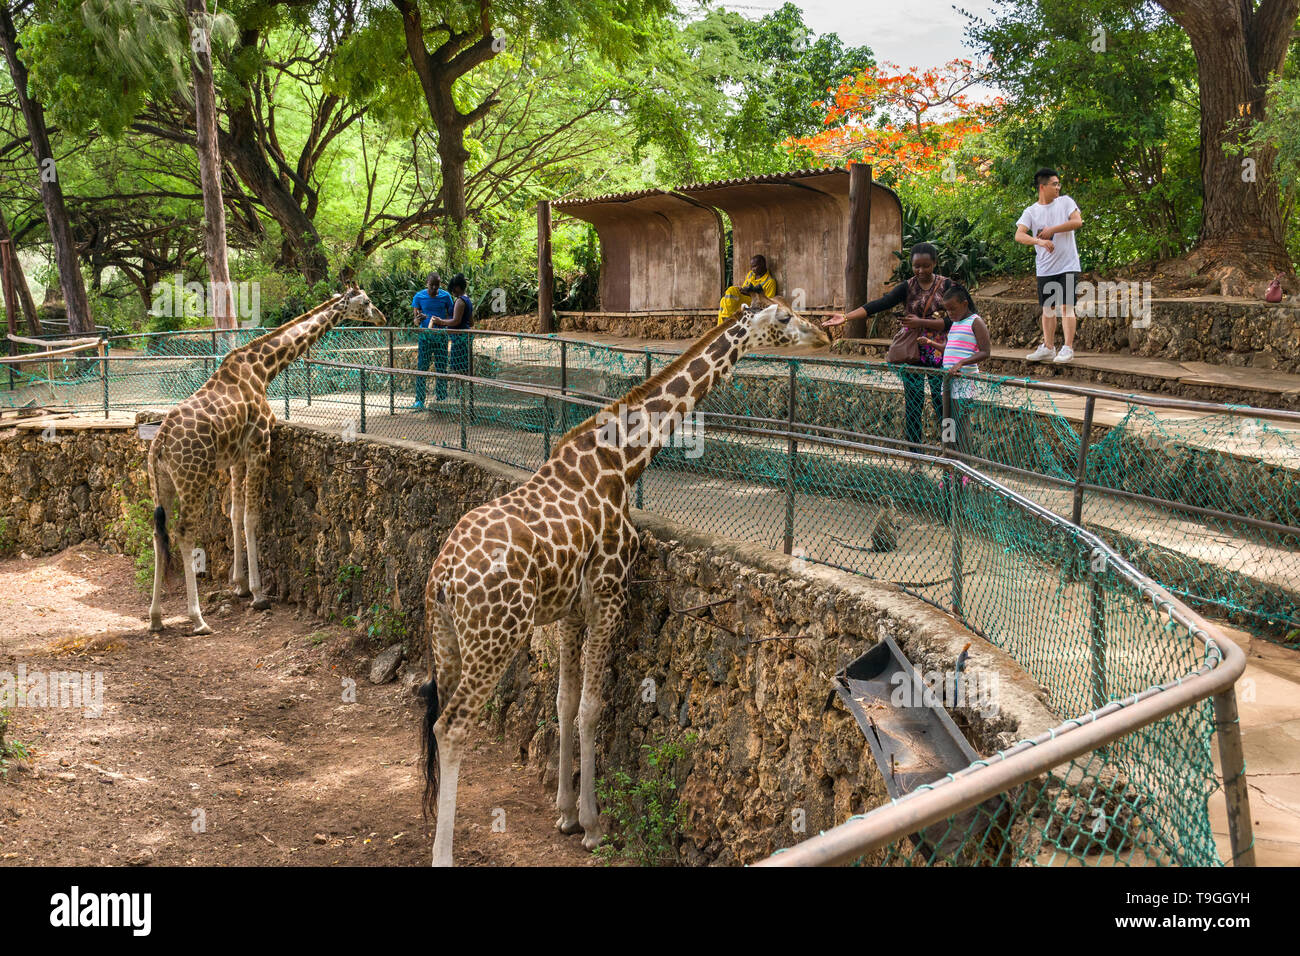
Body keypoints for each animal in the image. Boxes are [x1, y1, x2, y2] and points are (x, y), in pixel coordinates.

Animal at [148, 291, 384, 634]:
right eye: (365, 302)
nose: (381, 316)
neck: (262, 369)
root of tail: (160, 443)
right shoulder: (260, 446)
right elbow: (251, 517)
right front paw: (258, 594)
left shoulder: (237, 457)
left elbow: (234, 514)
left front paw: (238, 584)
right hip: (193, 477)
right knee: (183, 532)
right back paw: (198, 618)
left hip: (161, 482)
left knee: (158, 533)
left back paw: (155, 617)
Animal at [416, 299, 826, 868]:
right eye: (784, 318)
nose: (824, 336)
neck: (622, 460)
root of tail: (443, 578)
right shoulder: (610, 593)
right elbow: (591, 708)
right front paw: (592, 825)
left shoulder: (570, 607)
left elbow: (565, 702)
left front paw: (565, 812)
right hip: (495, 637)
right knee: (452, 726)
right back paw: (443, 854)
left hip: (447, 639)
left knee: (437, 720)